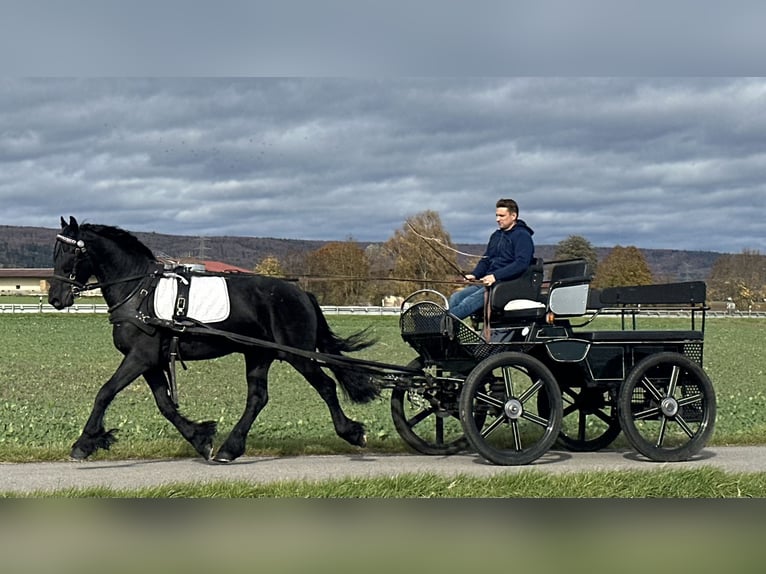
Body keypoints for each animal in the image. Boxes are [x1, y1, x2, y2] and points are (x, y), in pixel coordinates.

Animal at [48, 216, 380, 463]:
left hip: (297, 353)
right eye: (55, 252)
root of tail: (301, 293)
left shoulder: (140, 357)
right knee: (258, 397)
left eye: (72, 252)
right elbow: (165, 405)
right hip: (258, 354)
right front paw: (200, 437)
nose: (55, 299)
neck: (139, 290)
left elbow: (105, 392)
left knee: (326, 386)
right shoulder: (150, 361)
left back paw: (351, 432)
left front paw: (84, 443)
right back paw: (229, 449)